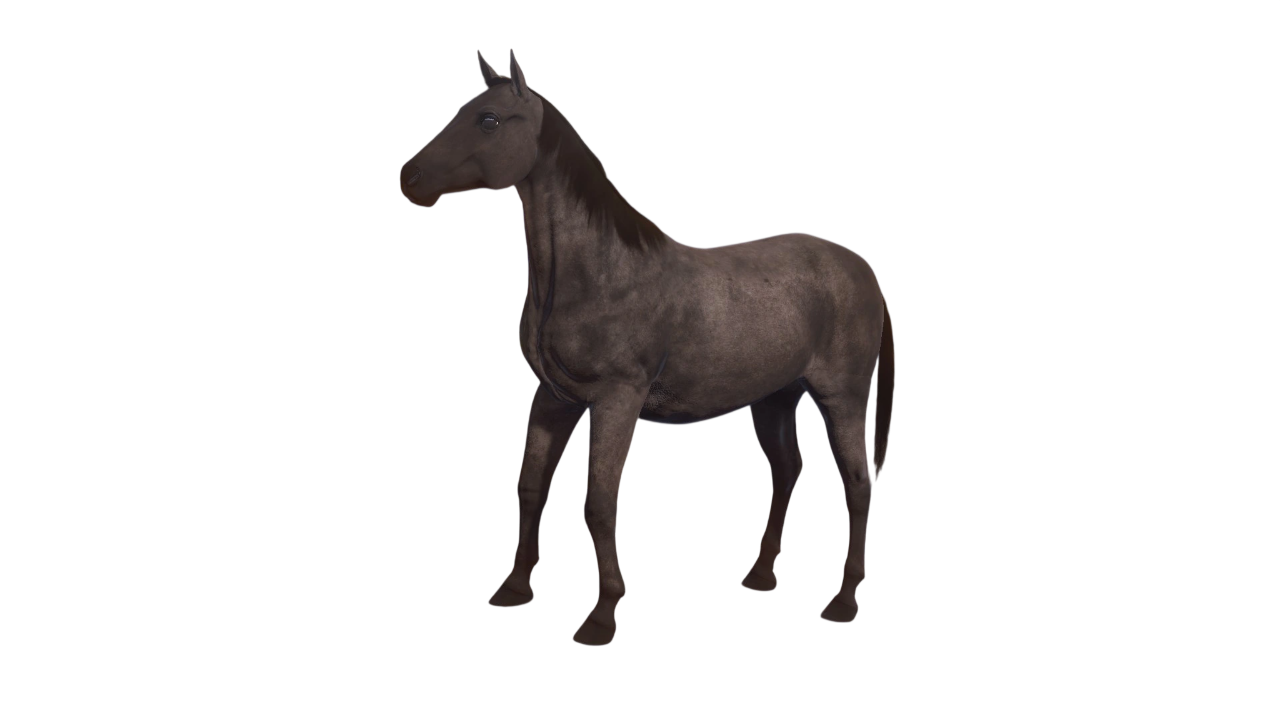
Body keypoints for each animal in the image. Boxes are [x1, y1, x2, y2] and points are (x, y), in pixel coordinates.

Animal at [400, 50, 895, 645]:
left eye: (489, 120)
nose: (411, 178)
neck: (597, 272)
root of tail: (860, 268)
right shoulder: (554, 398)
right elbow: (530, 487)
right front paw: (515, 587)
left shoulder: (617, 401)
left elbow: (598, 502)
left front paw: (601, 613)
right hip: (776, 397)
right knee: (787, 470)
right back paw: (759, 574)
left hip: (841, 398)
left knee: (858, 484)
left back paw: (843, 600)